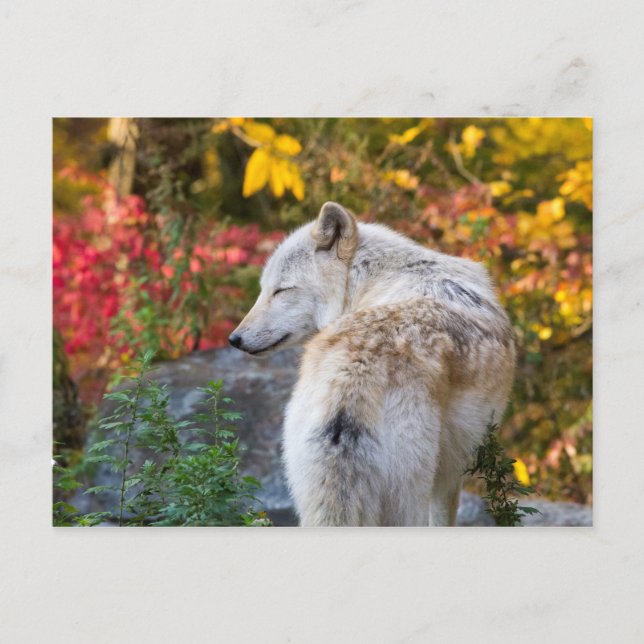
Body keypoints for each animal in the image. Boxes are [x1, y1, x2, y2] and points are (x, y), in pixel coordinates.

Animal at [229, 202, 515, 526]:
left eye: (280, 290)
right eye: (265, 290)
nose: (234, 339)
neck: (372, 280)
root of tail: (353, 377)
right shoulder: (450, 477)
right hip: (408, 502)